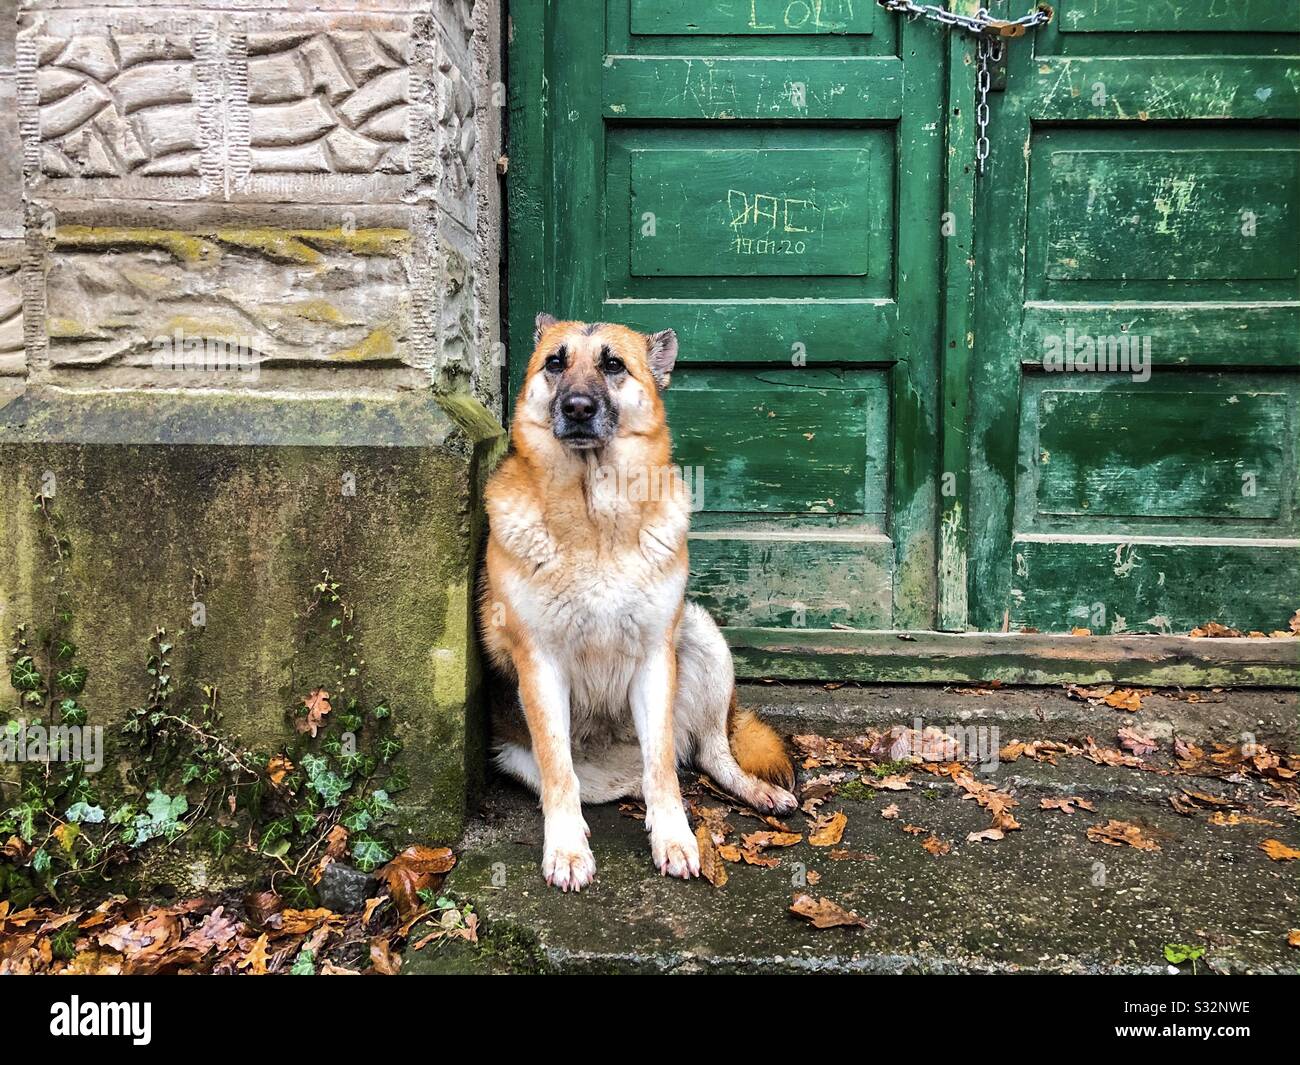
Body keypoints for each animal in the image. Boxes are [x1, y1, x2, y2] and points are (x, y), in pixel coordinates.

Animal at [478, 314, 795, 889]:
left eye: (613, 365)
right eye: (555, 363)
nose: (577, 407)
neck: (595, 519)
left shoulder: (654, 659)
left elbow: (663, 769)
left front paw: (673, 837)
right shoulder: (540, 665)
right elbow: (559, 772)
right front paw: (566, 848)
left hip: (700, 636)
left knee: (706, 754)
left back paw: (753, 790)